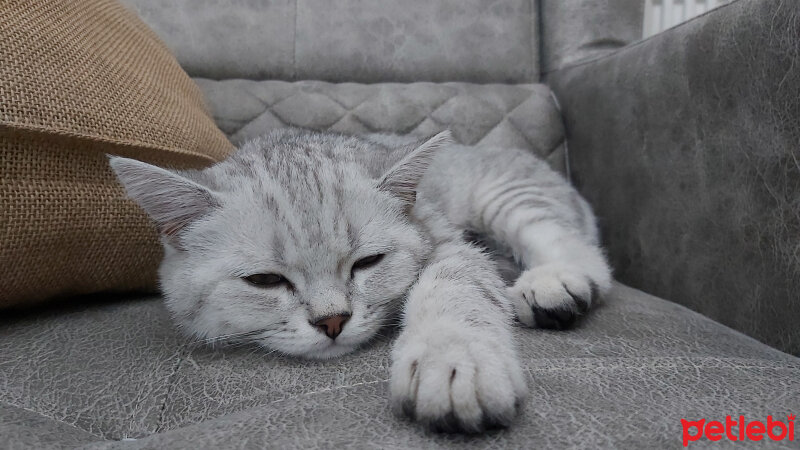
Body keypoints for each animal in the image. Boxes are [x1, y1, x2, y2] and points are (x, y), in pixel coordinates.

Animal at [111, 127, 612, 432]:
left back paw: (552, 284)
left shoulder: (448, 243)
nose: (332, 321)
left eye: (368, 263)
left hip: (506, 195)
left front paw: (452, 359)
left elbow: (454, 286)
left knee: (585, 254)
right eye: (265, 280)